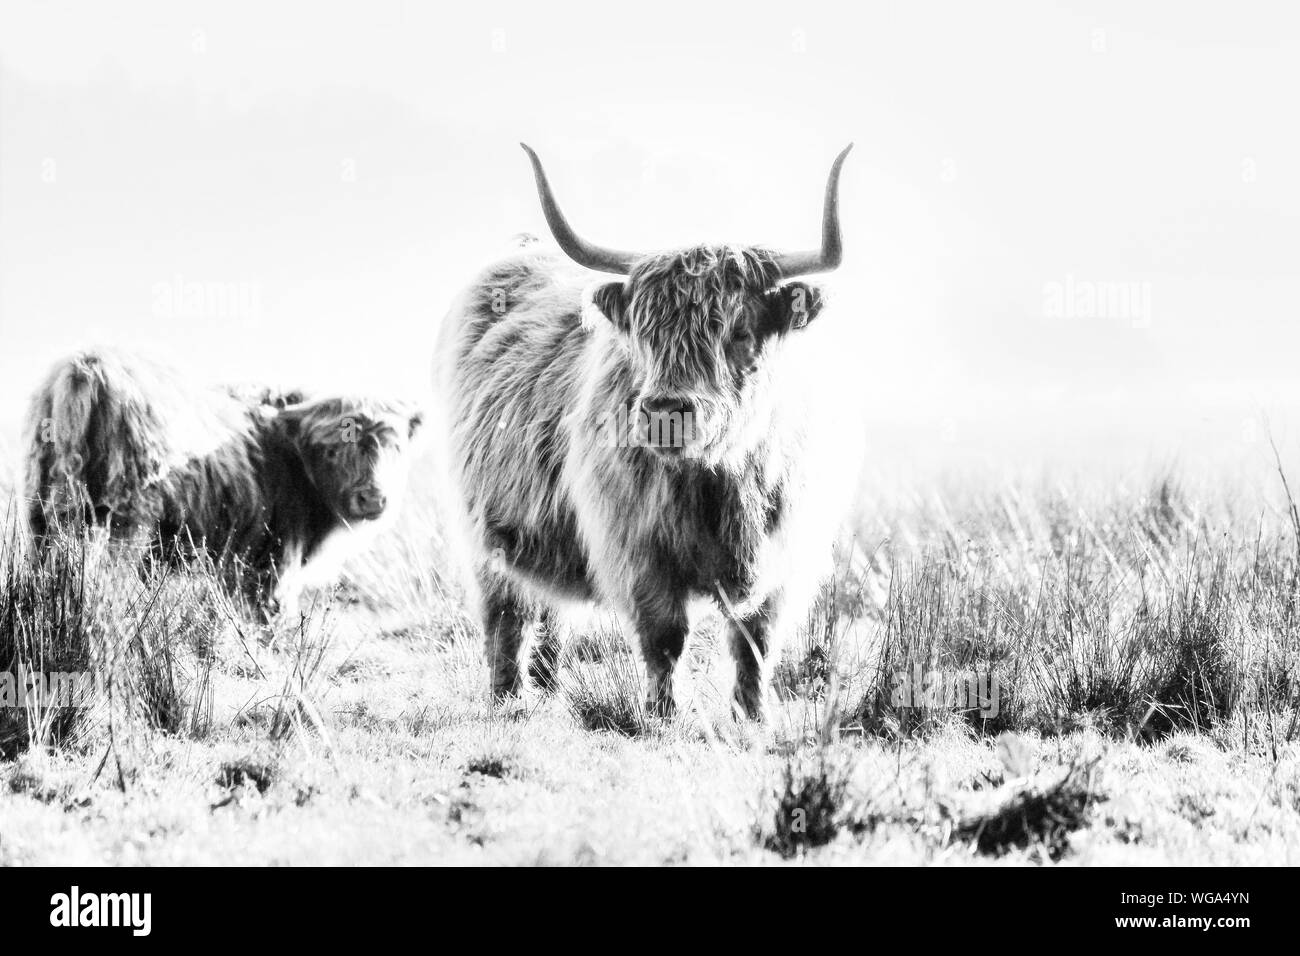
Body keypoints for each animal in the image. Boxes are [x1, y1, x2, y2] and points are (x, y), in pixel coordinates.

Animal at [23, 349, 423, 617]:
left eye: (395, 446)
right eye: (333, 449)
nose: (372, 498)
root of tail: (88, 366)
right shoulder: (274, 562)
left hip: (42, 515)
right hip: (126, 523)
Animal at [432, 143, 854, 719]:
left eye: (739, 331)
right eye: (645, 333)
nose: (663, 411)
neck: (720, 479)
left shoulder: (783, 555)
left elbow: (755, 641)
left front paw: (753, 717)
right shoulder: (638, 551)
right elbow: (665, 637)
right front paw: (662, 714)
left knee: (550, 612)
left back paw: (548, 686)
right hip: (484, 532)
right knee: (506, 614)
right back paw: (507, 698)